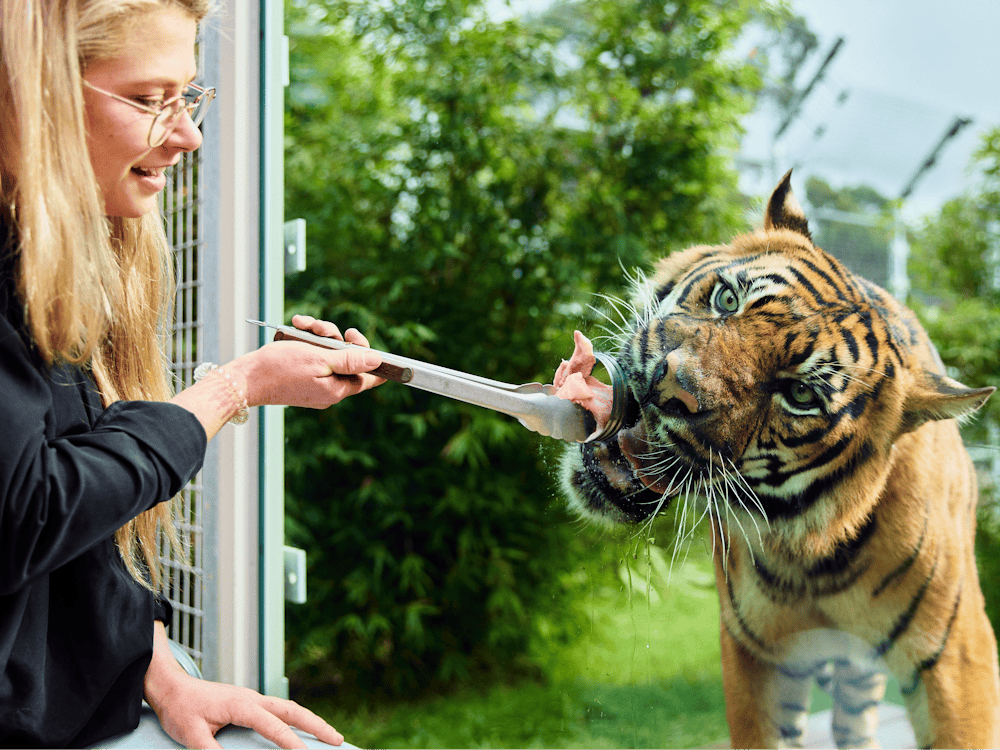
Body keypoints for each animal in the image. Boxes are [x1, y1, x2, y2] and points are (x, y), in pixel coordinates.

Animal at [559, 171, 1000, 749]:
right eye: (727, 299)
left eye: (800, 394)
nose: (668, 388)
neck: (811, 564)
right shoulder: (755, 656)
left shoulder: (957, 661)